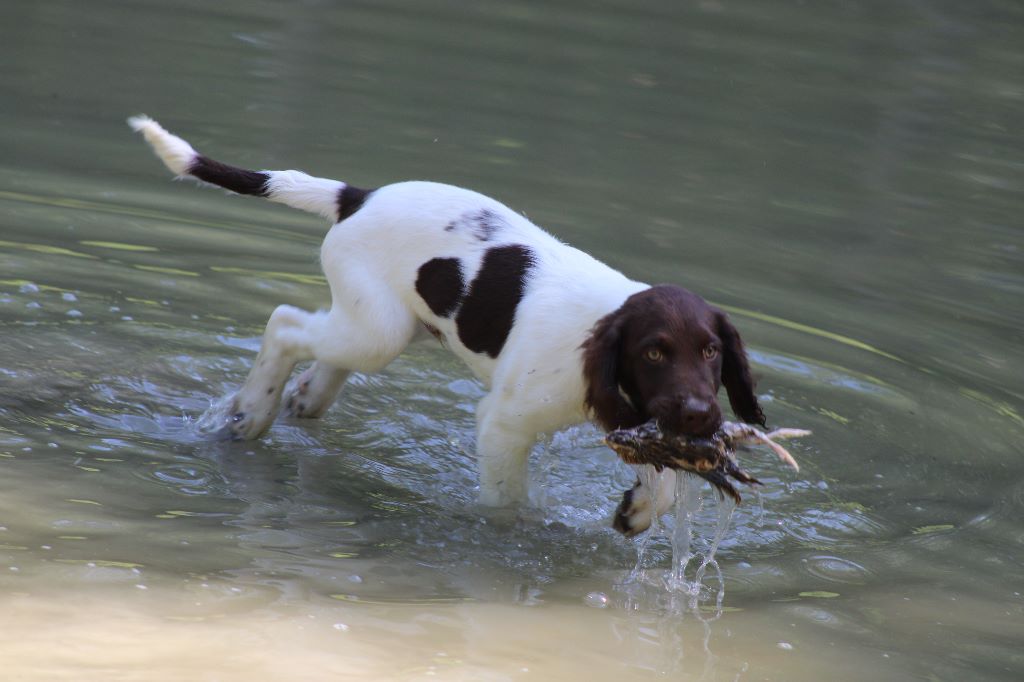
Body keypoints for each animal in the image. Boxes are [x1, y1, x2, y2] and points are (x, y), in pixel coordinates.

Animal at [130, 115, 770, 532]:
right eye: (654, 353)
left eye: (712, 352)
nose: (702, 415)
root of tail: (359, 196)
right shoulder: (503, 426)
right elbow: (506, 506)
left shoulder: (637, 420)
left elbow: (663, 478)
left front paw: (637, 509)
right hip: (379, 333)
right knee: (286, 323)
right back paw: (251, 413)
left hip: (391, 322)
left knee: (321, 361)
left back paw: (300, 400)